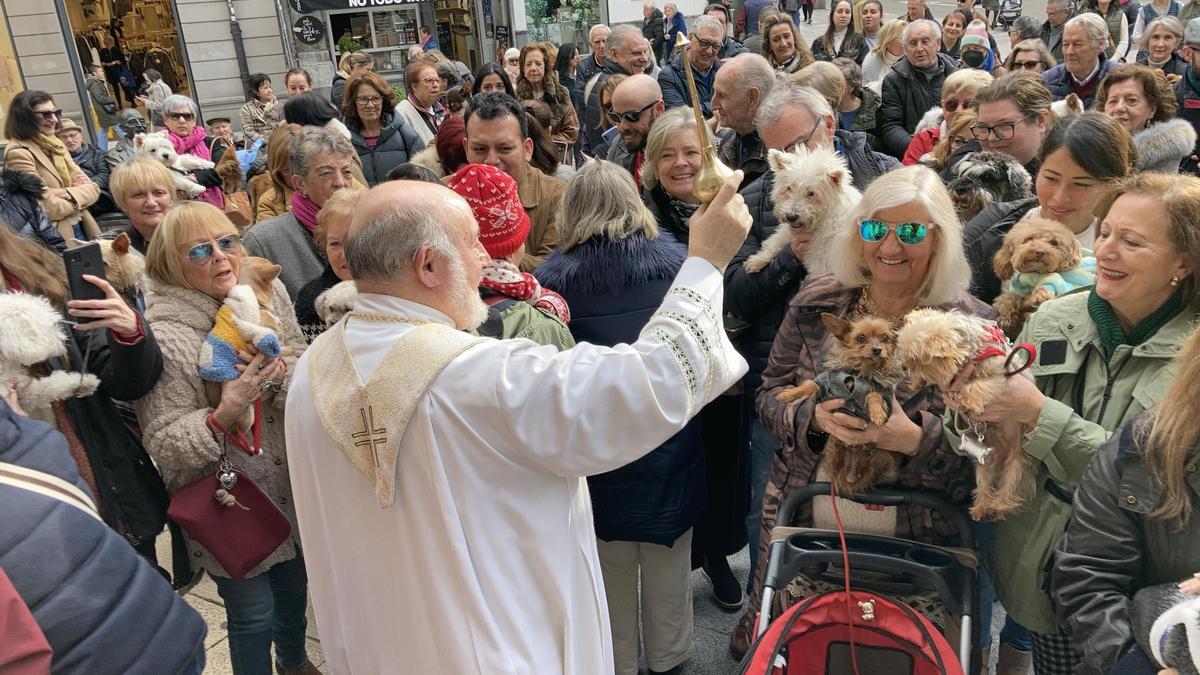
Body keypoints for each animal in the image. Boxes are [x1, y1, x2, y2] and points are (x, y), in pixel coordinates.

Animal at [777, 312, 902, 494]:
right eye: (861, 337)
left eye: (885, 337)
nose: (877, 349)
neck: (861, 371)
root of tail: (850, 476)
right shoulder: (826, 383)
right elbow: (810, 384)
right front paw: (790, 394)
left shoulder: (883, 392)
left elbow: (873, 394)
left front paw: (878, 413)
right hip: (831, 447)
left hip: (881, 456)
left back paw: (868, 450)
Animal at [892, 307, 1032, 516]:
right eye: (907, 358)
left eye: (917, 361)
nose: (904, 367)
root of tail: (1002, 451)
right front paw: (917, 382)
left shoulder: (1000, 371)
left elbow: (980, 385)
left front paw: (968, 400)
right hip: (984, 461)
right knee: (985, 481)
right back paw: (980, 507)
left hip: (1016, 458)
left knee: (1011, 481)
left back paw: (999, 506)